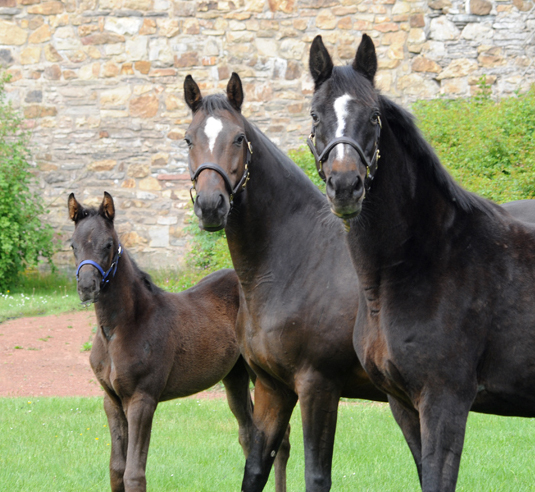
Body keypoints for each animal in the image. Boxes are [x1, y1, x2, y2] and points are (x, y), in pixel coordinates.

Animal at [69, 191, 292, 492]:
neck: (122, 327)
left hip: (262, 375)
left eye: (108, 244)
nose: (86, 287)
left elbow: (133, 473)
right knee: (248, 434)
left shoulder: (142, 399)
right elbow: (116, 470)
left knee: (281, 441)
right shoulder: (112, 400)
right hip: (235, 375)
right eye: (73, 245)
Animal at [185, 73, 390, 492]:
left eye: (238, 137)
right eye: (188, 139)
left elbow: (316, 475)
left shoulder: (318, 387)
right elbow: (255, 468)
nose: (211, 206)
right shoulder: (271, 388)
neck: (297, 259)